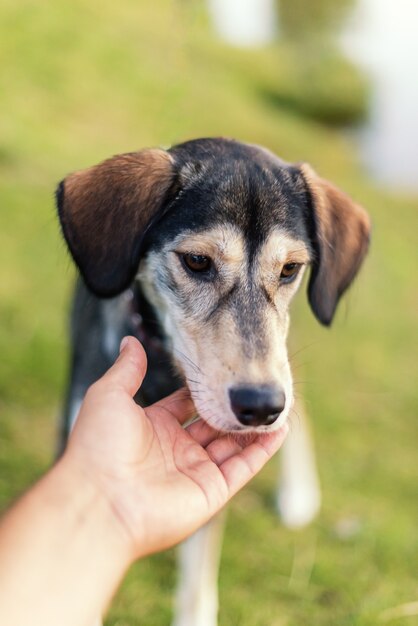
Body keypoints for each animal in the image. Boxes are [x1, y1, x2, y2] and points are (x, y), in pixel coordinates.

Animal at [55, 138, 370, 624]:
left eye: (290, 269)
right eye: (197, 261)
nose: (261, 406)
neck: (167, 372)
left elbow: (197, 583)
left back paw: (299, 492)